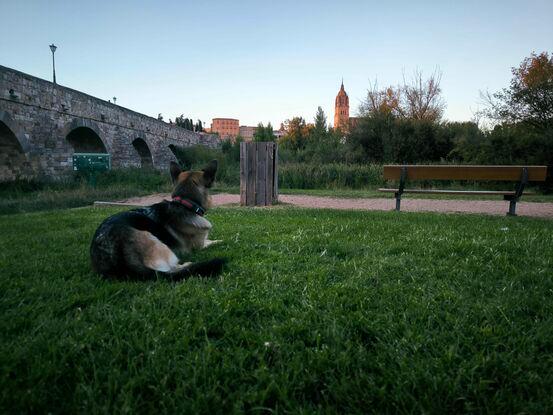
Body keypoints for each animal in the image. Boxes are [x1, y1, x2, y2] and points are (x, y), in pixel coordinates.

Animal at [90, 161, 226, 282]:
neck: (185, 204)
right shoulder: (200, 245)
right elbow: (212, 241)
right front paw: (223, 240)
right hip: (158, 243)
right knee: (171, 270)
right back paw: (188, 264)